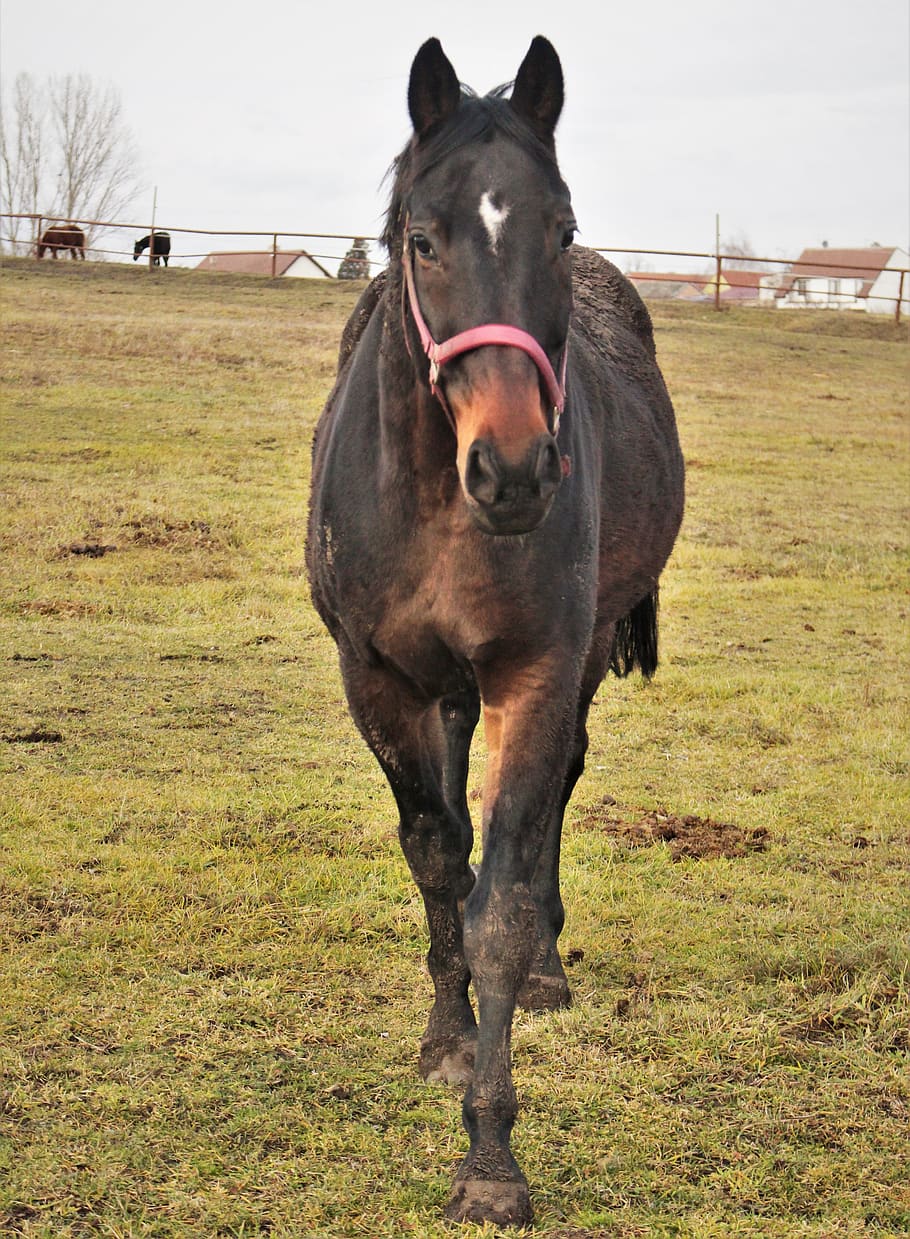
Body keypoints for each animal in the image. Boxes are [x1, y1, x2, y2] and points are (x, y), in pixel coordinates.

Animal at [306, 36, 685, 1228]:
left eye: (558, 229)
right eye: (422, 240)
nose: (515, 470)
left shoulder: (538, 670)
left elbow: (502, 903)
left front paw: (490, 1160)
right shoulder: (377, 677)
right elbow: (437, 855)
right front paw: (447, 1040)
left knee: (562, 782)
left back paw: (556, 973)